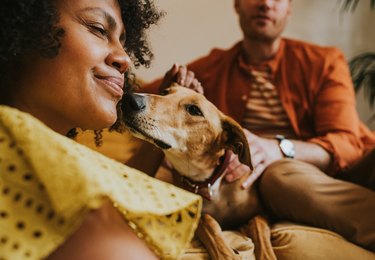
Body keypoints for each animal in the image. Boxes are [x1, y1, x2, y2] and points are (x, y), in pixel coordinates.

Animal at [122, 84, 274, 258]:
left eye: (194, 110)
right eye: (164, 92)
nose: (129, 99)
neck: (208, 182)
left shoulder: (264, 212)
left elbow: (257, 224)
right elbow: (206, 220)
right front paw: (226, 253)